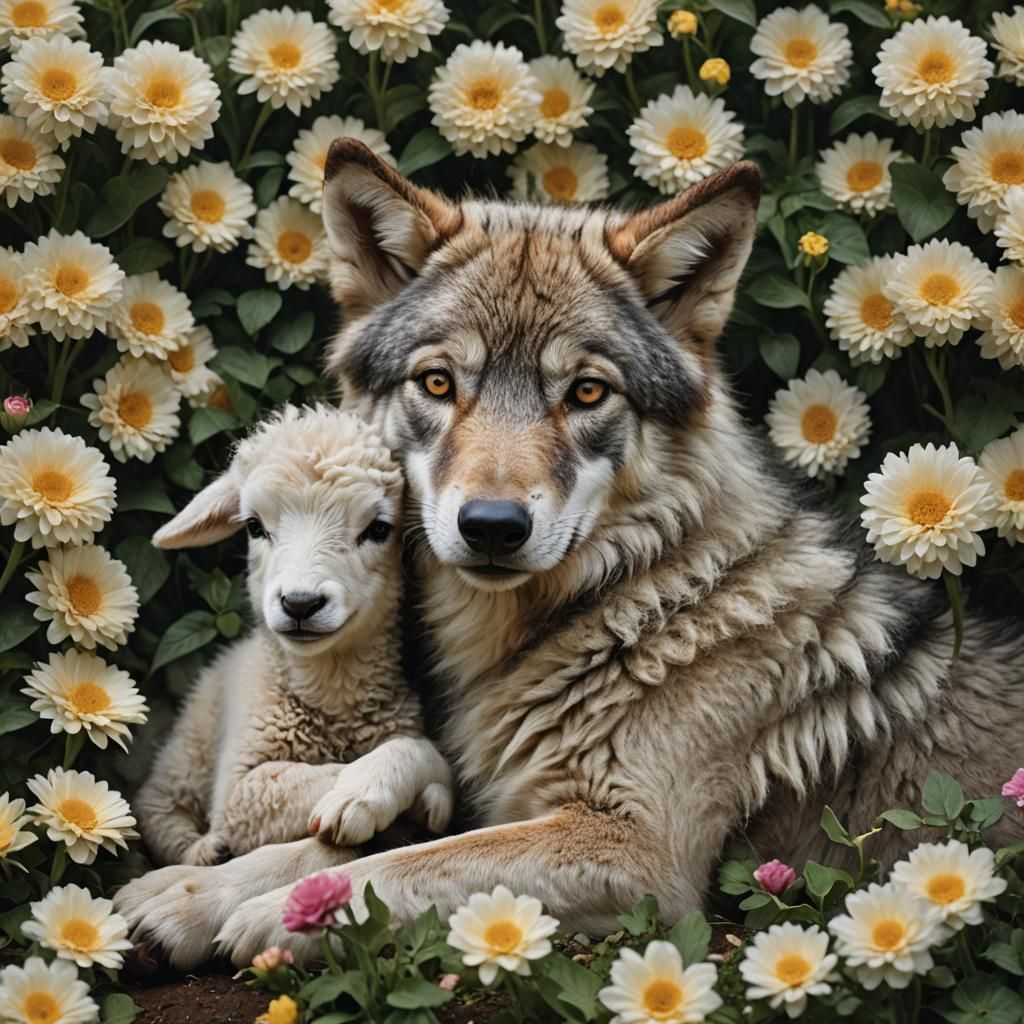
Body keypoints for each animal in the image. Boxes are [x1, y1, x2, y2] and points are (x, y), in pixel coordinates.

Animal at [134, 404, 453, 867]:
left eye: (378, 529)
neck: (330, 693)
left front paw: (403, 800)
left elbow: (411, 750)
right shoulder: (242, 792)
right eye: (253, 526)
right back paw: (204, 851)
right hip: (189, 752)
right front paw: (360, 798)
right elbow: (328, 773)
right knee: (155, 807)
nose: (300, 603)